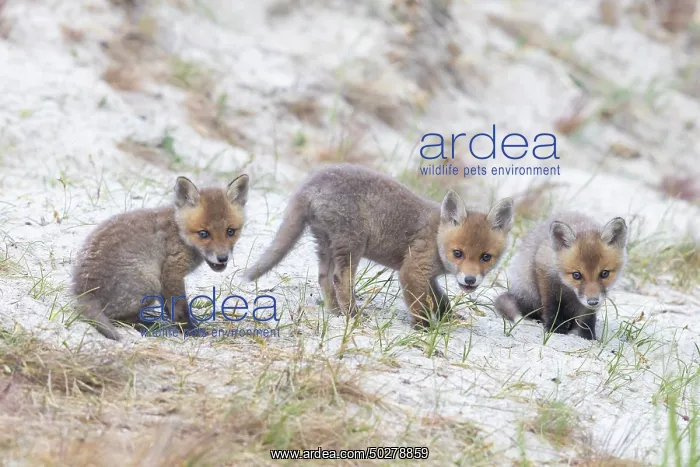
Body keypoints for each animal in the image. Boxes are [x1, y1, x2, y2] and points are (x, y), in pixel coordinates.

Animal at [72, 174, 249, 341]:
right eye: (204, 234)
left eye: (230, 231)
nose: (222, 258)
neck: (179, 232)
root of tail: (84, 292)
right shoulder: (171, 272)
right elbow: (180, 309)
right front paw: (189, 329)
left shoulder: (165, 281)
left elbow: (169, 308)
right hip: (150, 283)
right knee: (119, 319)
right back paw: (149, 324)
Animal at [243, 164, 514, 327]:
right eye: (458, 253)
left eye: (486, 257)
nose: (470, 280)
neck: (436, 235)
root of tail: (311, 183)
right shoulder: (412, 270)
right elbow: (420, 303)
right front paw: (425, 327)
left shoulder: (428, 275)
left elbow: (440, 300)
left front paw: (448, 318)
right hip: (352, 244)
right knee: (340, 279)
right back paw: (352, 314)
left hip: (326, 243)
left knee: (324, 278)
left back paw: (335, 312)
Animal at [494, 212, 628, 340]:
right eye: (576, 275)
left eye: (604, 273)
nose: (593, 301)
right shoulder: (544, 271)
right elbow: (552, 306)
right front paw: (555, 328)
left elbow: (587, 318)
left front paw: (588, 337)